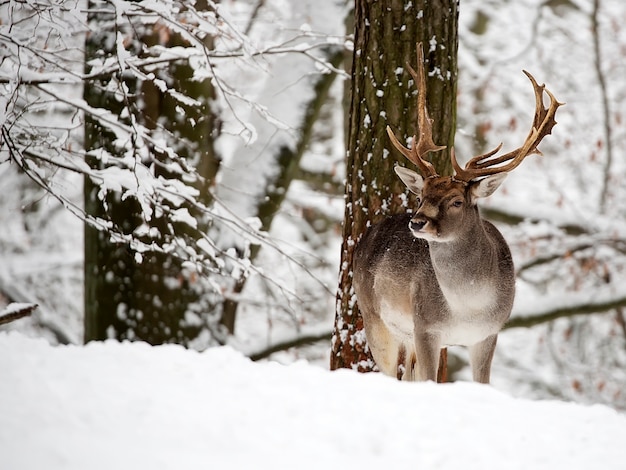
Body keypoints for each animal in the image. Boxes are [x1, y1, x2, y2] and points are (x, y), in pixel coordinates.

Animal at [352, 43, 560, 382]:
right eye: (421, 195)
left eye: (456, 201)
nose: (417, 221)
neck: (468, 309)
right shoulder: (426, 326)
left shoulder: (489, 333)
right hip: (374, 316)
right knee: (389, 371)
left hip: (403, 333)